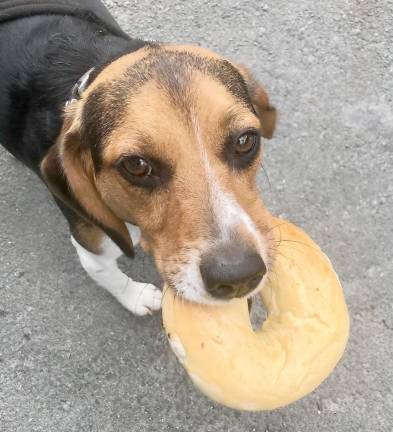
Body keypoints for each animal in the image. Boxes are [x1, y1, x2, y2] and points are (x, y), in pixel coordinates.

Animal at [0, 1, 276, 316]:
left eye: (245, 141)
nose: (239, 275)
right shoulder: (92, 243)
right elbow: (107, 274)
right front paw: (138, 297)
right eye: (136, 165)